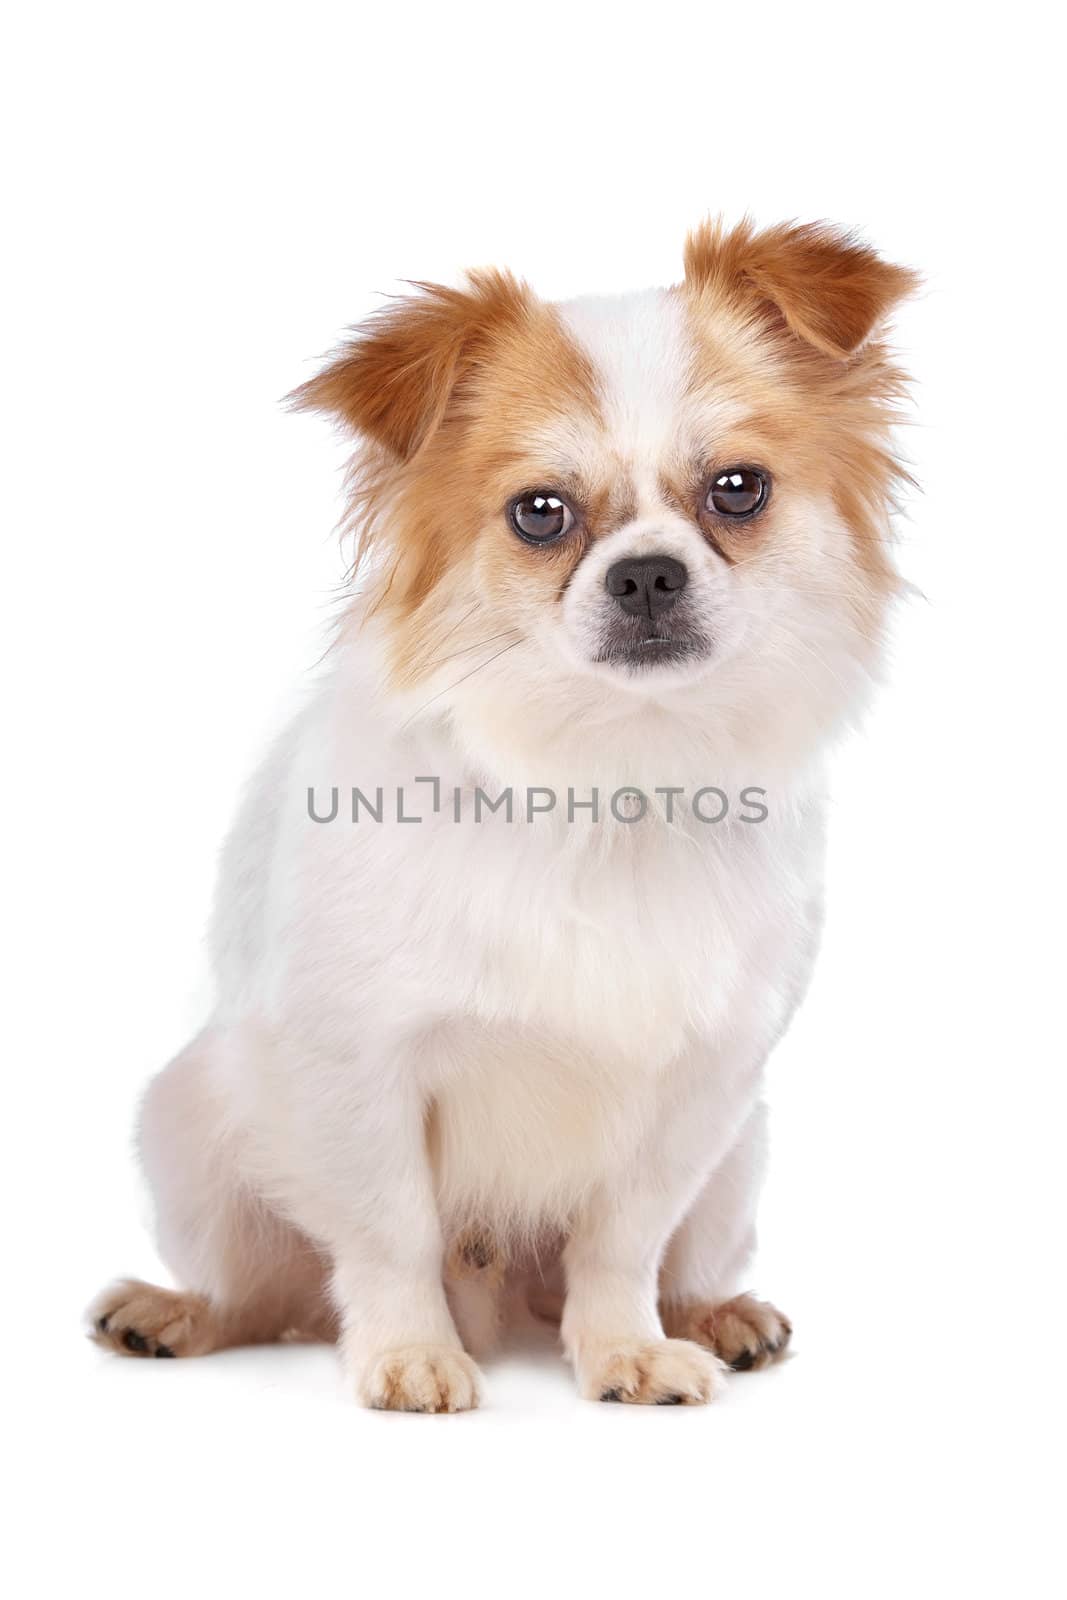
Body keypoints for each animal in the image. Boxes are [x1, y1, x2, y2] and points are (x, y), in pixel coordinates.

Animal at [89, 216, 921, 1414]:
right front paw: (407, 1353)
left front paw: (624, 1350)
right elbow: (386, 1232)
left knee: (654, 1262)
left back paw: (711, 1314)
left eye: (738, 489)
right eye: (540, 514)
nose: (647, 574)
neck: (610, 769)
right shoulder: (355, 1066)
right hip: (193, 1121)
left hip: (738, 1163)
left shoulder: (700, 1091)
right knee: (271, 1291)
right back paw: (177, 1314)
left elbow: (621, 1241)